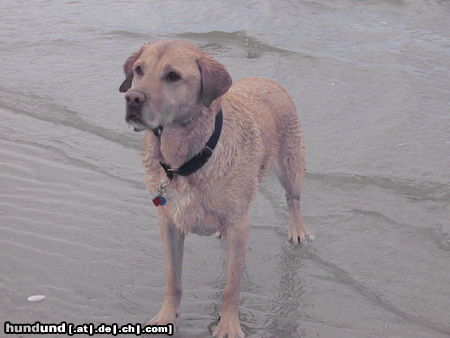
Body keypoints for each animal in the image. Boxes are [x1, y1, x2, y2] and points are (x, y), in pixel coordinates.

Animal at [119, 40, 310, 338]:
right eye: (139, 70)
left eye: (173, 76)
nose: (133, 98)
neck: (186, 158)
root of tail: (266, 80)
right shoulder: (169, 224)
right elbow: (173, 279)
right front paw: (167, 317)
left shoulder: (239, 226)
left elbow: (231, 288)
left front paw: (229, 324)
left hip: (291, 162)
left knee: (293, 198)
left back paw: (297, 229)